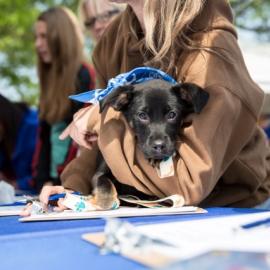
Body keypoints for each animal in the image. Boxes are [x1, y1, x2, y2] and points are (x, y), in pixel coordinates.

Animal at [90, 78, 209, 209]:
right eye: (142, 115)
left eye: (172, 114)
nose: (159, 146)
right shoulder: (101, 170)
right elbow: (103, 180)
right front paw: (106, 201)